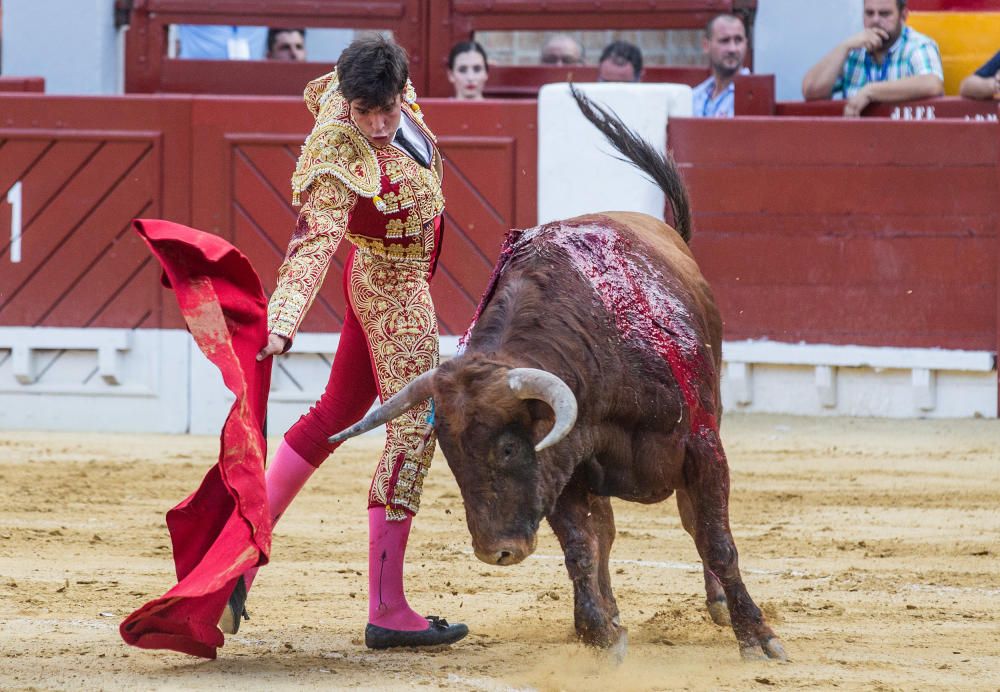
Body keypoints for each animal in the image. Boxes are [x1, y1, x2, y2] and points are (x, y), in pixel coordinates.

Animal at [332, 86, 784, 660]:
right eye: (451, 458)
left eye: (506, 448)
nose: (495, 552)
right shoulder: (567, 461)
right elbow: (582, 546)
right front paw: (600, 634)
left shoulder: (702, 447)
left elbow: (715, 538)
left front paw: (759, 636)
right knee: (606, 535)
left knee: (692, 522)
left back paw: (720, 606)